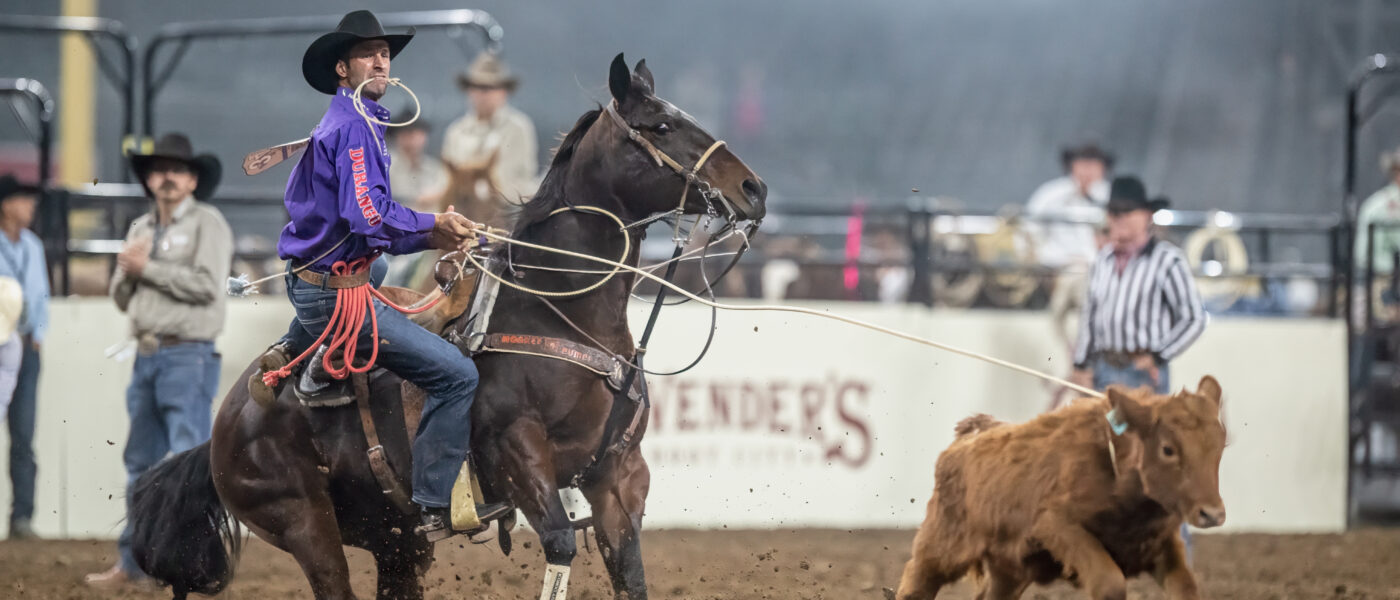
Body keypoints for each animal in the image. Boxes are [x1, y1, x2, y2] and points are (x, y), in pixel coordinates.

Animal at [127, 52, 767, 598]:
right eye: (659, 126)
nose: (753, 188)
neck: (559, 309)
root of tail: (231, 413)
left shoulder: (620, 476)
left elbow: (629, 572)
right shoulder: (518, 455)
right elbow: (561, 546)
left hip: (396, 542)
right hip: (304, 524)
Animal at [896, 377, 1226, 595]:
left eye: (1220, 445)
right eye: (1168, 449)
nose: (1212, 514)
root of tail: (966, 439)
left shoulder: (1161, 544)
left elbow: (1186, 587)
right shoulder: (1055, 525)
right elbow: (1109, 582)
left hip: (1009, 569)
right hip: (940, 547)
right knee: (917, 581)